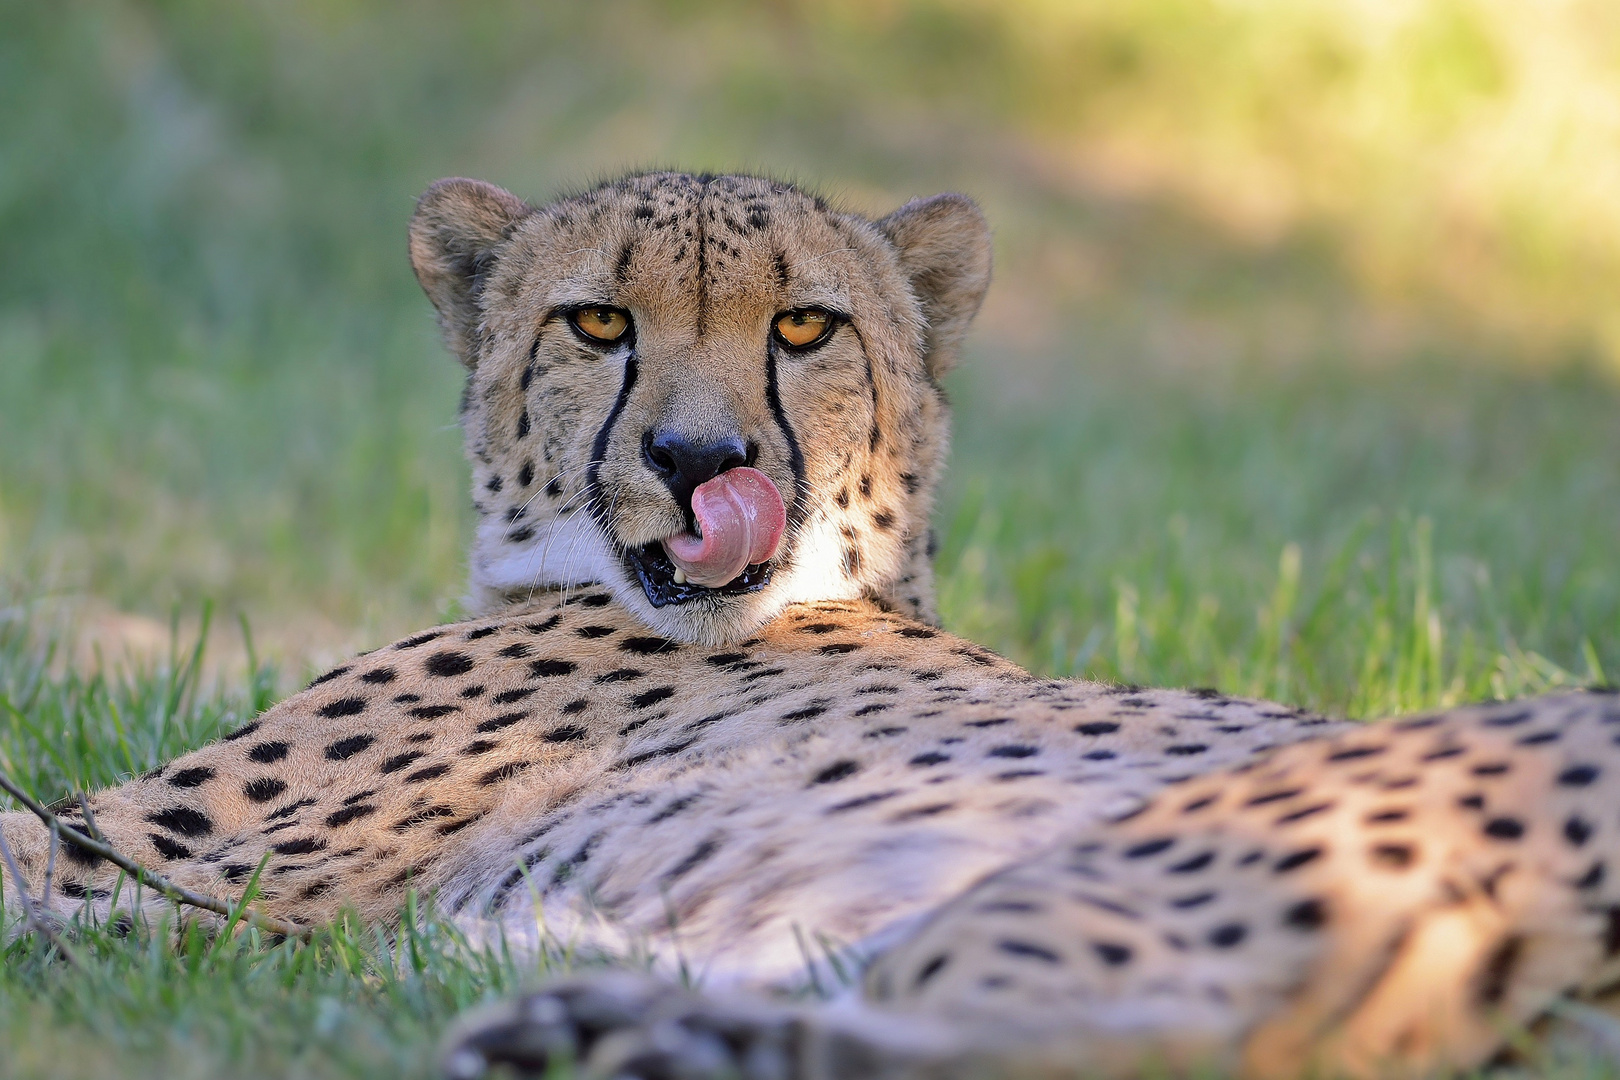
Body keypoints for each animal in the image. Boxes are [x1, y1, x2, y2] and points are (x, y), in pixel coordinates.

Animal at [0, 173, 1613, 1075]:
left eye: (804, 328)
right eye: (598, 324)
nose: (700, 460)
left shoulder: (159, 851)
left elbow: (38, 836)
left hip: (1139, 861)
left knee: (1191, 1041)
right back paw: (614, 1026)